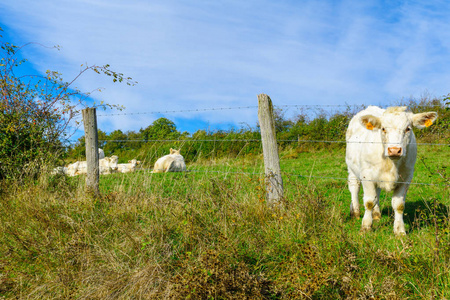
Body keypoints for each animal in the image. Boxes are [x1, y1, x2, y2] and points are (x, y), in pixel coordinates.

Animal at [346, 106, 438, 236]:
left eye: (408, 129)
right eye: (383, 128)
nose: (394, 150)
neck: (392, 164)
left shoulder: (406, 178)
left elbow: (398, 205)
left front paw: (399, 231)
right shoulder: (367, 175)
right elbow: (369, 202)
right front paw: (366, 227)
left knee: (377, 193)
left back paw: (376, 214)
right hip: (352, 169)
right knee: (354, 188)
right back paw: (355, 212)